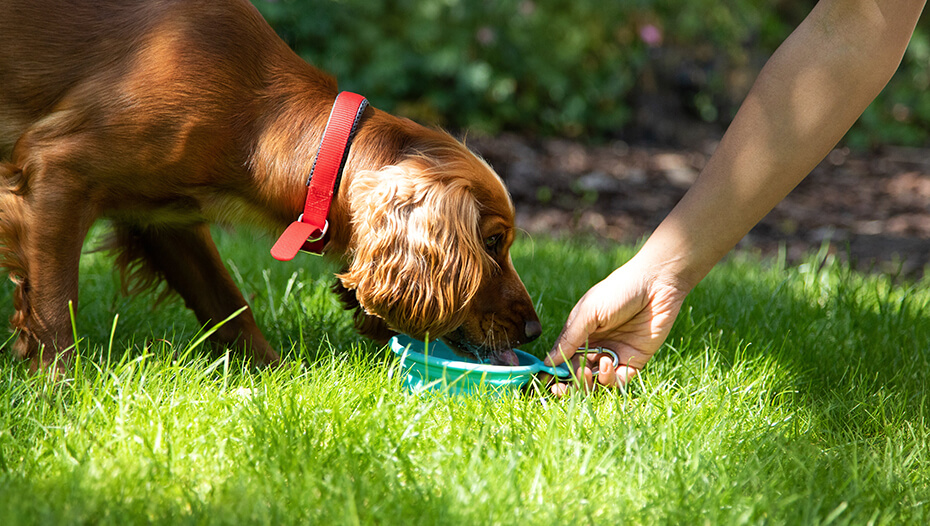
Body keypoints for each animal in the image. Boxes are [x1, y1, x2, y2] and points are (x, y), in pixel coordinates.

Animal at [0, 0, 540, 374]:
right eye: (493, 242)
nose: (534, 330)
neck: (255, 121)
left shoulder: (164, 218)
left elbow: (228, 304)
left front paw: (273, 378)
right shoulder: (56, 171)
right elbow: (55, 308)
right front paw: (58, 392)